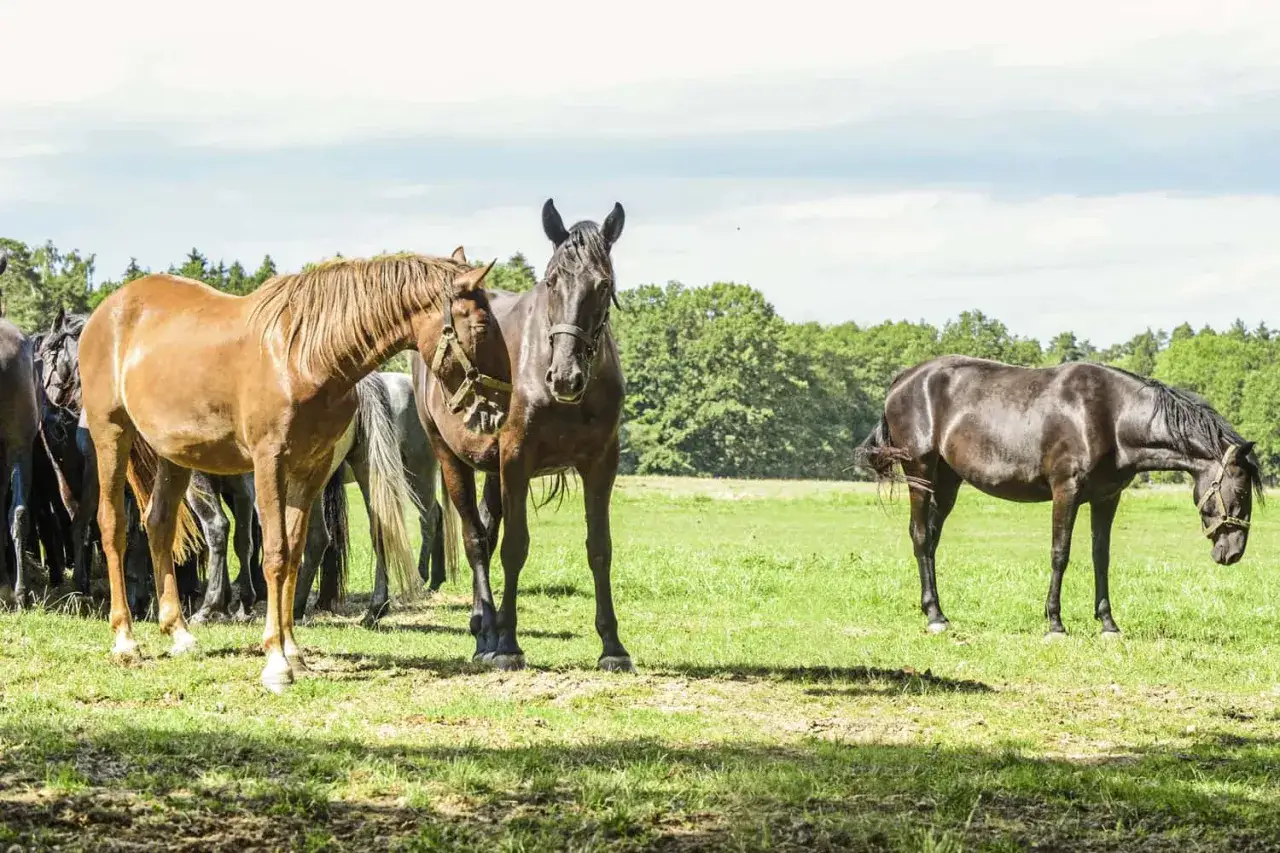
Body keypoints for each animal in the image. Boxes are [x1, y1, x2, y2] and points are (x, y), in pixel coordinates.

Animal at [414, 200, 631, 672]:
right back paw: (486, 635)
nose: (564, 377)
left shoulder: (601, 463)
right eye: (552, 281)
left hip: (493, 470)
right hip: (451, 456)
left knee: (487, 527)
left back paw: (487, 627)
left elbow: (600, 548)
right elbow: (514, 547)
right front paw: (509, 644)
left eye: (603, 285)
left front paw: (613, 646)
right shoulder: (516, 458)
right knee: (477, 539)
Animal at [856, 355, 1265, 638]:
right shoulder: (1065, 491)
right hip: (920, 475)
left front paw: (1108, 623)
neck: (1111, 416)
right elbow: (1060, 554)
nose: (1233, 553)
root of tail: (903, 380)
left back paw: (936, 610)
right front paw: (1055, 622)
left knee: (931, 540)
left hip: (947, 483)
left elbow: (1102, 557)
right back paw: (935, 617)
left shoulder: (1106, 499)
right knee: (920, 537)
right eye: (1241, 489)